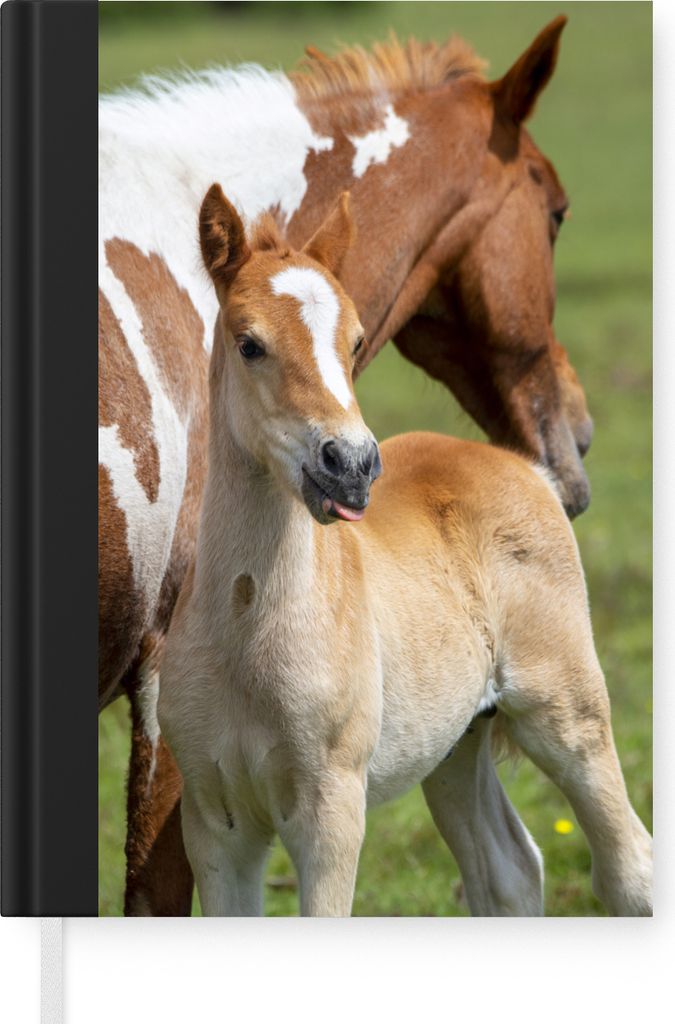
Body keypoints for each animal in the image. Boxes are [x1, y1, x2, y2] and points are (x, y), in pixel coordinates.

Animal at [157, 185, 651, 918]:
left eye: (357, 340)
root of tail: (524, 466)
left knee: (629, 868)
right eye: (249, 344)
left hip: (566, 713)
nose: (352, 464)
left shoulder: (331, 810)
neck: (249, 627)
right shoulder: (217, 824)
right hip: (455, 742)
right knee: (508, 871)